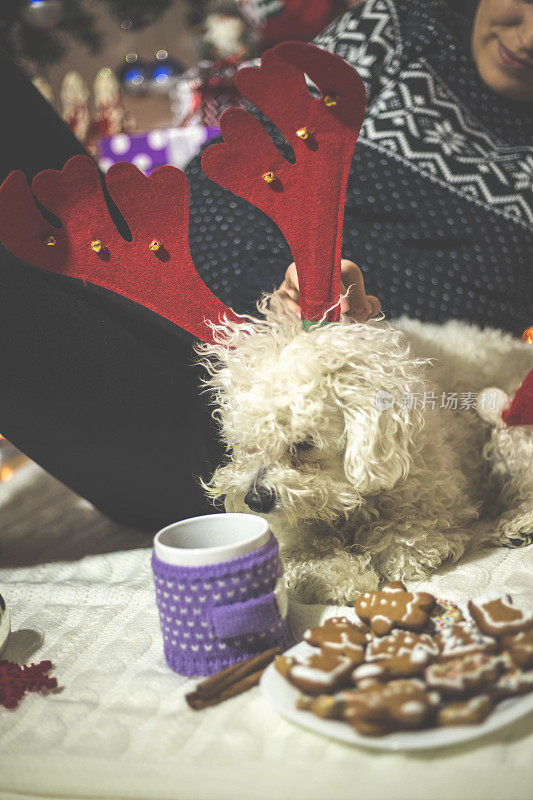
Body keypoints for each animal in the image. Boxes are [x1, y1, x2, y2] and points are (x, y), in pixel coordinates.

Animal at [197, 296, 528, 604]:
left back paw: (518, 524)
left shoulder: (437, 509)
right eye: (245, 442)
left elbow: (400, 543)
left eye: (304, 443)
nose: (254, 500)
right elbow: (305, 555)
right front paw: (339, 575)